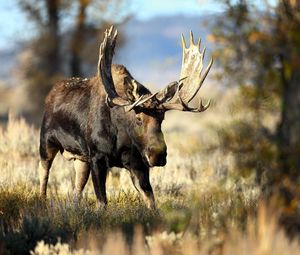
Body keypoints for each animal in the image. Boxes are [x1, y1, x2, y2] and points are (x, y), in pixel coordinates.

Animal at [38, 26, 213, 209]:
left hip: (81, 158)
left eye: (162, 118)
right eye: (138, 118)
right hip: (46, 143)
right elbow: (102, 201)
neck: (120, 136)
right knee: (43, 175)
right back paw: (41, 202)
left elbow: (150, 201)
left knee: (77, 189)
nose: (158, 154)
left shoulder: (138, 164)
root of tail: (50, 94)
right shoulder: (97, 157)